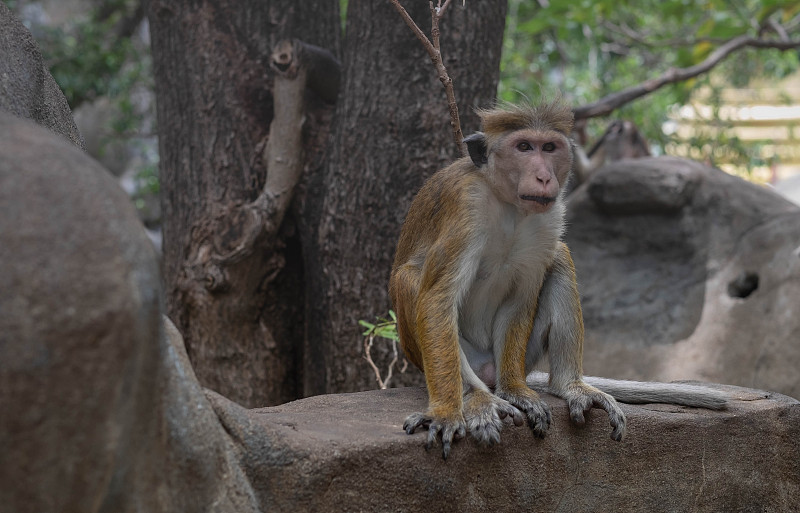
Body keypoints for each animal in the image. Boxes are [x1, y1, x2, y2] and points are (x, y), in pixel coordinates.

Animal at [386, 102, 724, 458]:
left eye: (549, 147)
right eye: (523, 147)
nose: (544, 176)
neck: (511, 206)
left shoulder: (549, 218)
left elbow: (521, 297)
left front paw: (516, 392)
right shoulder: (466, 205)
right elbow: (438, 299)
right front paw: (446, 413)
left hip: (522, 355)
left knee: (559, 257)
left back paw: (564, 386)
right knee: (411, 280)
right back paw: (475, 398)